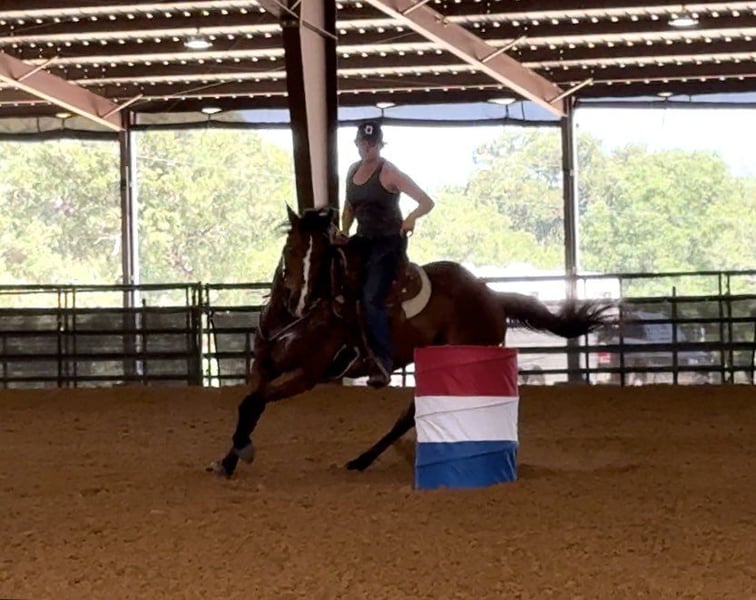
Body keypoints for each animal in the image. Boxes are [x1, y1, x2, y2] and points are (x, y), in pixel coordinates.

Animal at [208, 206, 611, 478]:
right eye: (291, 248)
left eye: (322, 254)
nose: (299, 300)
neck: (294, 321)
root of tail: (492, 297)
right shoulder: (263, 365)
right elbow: (250, 405)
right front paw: (228, 460)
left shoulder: (306, 376)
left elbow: (255, 402)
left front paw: (241, 452)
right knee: (413, 415)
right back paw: (366, 460)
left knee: (420, 414)